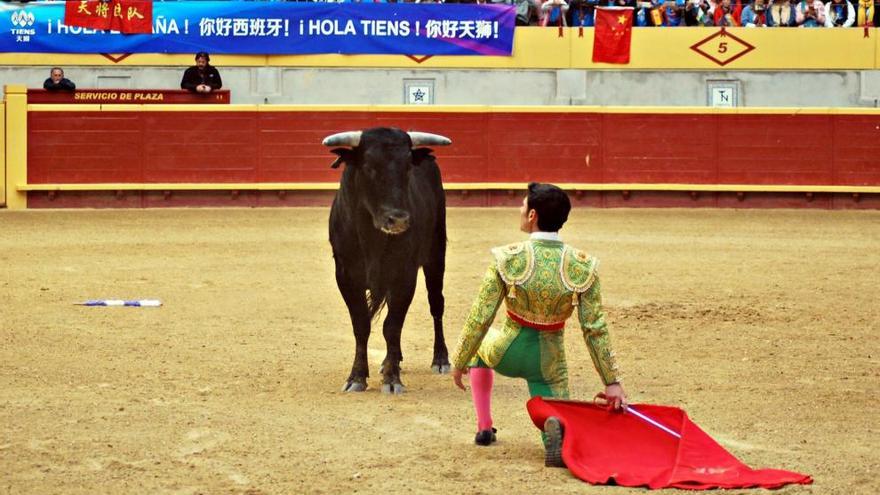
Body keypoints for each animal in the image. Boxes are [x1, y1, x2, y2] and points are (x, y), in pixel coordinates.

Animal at [326, 127, 458, 396]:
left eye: (407, 166)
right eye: (368, 166)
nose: (398, 219)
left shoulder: (404, 275)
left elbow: (392, 326)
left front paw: (392, 379)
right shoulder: (345, 276)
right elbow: (361, 325)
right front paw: (357, 377)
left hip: (436, 254)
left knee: (436, 304)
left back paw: (439, 359)